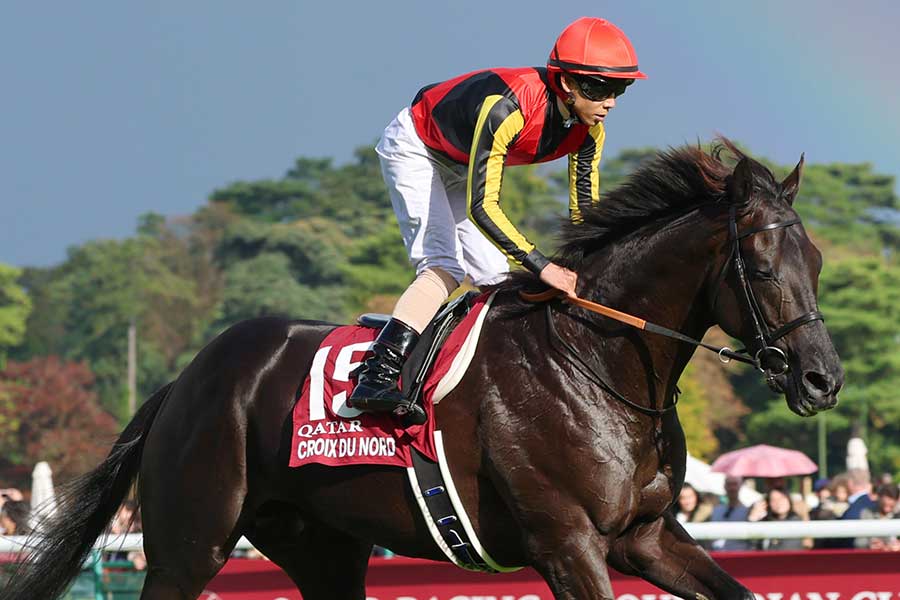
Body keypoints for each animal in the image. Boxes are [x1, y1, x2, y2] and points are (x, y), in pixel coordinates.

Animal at [4, 139, 843, 600]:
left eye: (816, 260)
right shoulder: (566, 541)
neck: (593, 364)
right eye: (761, 266)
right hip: (191, 543)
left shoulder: (647, 536)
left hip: (323, 547)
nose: (822, 378)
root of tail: (185, 381)